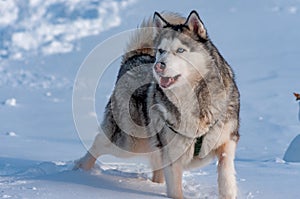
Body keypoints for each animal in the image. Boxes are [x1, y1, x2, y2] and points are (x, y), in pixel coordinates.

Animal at [74, 10, 239, 199]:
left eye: (180, 50)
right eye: (161, 50)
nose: (159, 66)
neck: (192, 100)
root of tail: (135, 58)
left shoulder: (227, 140)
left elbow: (226, 171)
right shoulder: (172, 154)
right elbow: (175, 189)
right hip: (129, 142)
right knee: (97, 145)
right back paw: (78, 170)